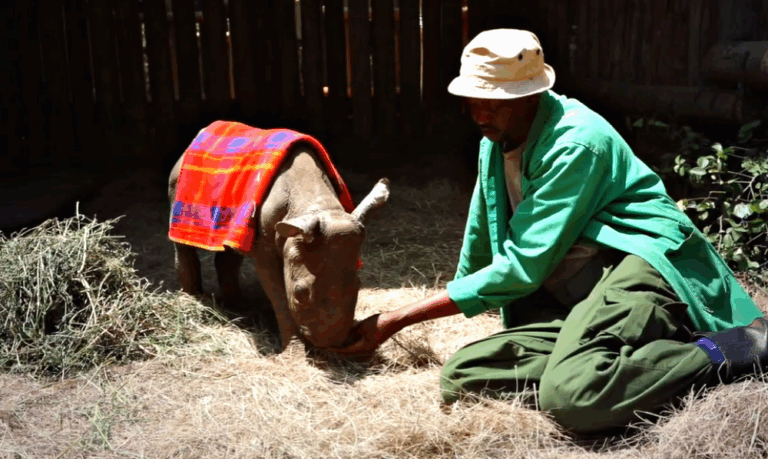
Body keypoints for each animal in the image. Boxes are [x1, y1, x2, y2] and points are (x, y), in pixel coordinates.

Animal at [168, 144, 389, 350]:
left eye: (360, 285)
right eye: (299, 293)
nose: (330, 344)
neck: (315, 207)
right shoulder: (264, 248)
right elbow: (279, 295)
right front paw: (295, 351)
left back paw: (238, 307)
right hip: (179, 182)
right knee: (182, 239)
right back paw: (195, 301)